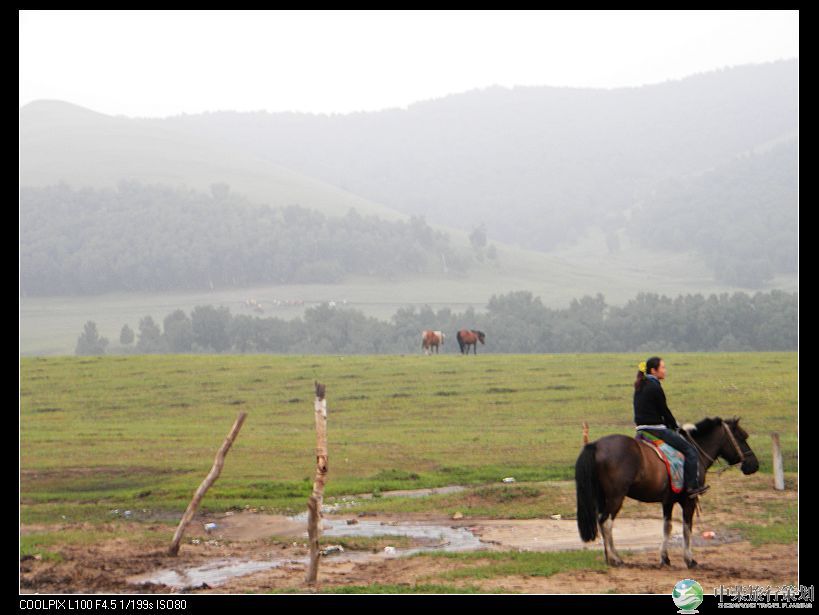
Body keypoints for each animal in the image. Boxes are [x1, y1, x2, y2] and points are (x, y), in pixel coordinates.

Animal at [576, 416, 764, 572]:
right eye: (743, 437)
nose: (754, 464)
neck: (696, 451)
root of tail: (596, 445)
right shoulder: (689, 500)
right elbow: (687, 528)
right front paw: (689, 560)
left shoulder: (667, 501)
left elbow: (667, 527)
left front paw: (665, 558)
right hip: (616, 497)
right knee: (606, 522)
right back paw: (616, 558)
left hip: (603, 497)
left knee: (601, 522)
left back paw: (608, 557)